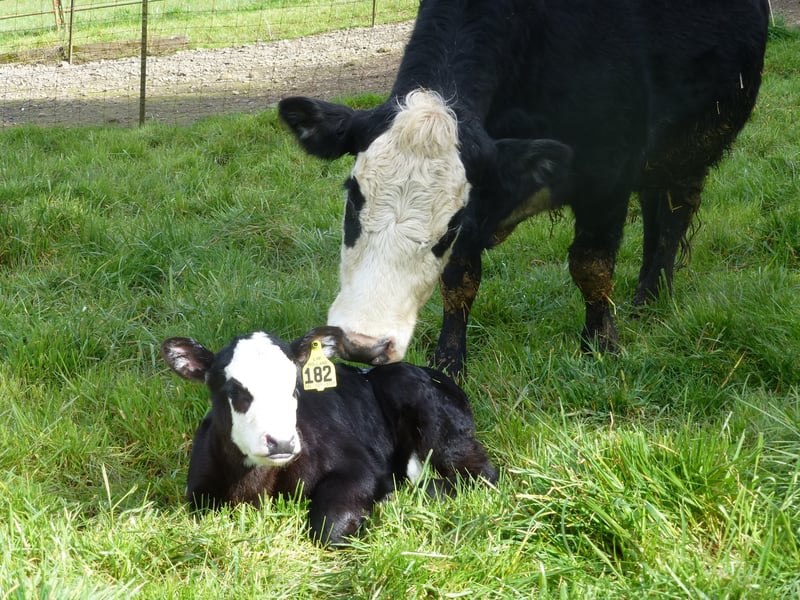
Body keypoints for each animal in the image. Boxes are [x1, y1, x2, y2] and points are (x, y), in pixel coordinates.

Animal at [161, 326, 497, 546]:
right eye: (234, 391)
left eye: (294, 387)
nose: (281, 441)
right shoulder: (198, 496)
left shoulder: (357, 466)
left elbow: (328, 530)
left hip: (438, 426)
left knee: (481, 475)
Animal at [277, 0, 770, 376]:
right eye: (353, 196)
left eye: (449, 223)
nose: (363, 345)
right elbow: (461, 279)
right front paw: (449, 361)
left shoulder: (607, 173)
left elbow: (591, 267)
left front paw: (601, 346)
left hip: (691, 149)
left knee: (671, 218)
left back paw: (650, 299)